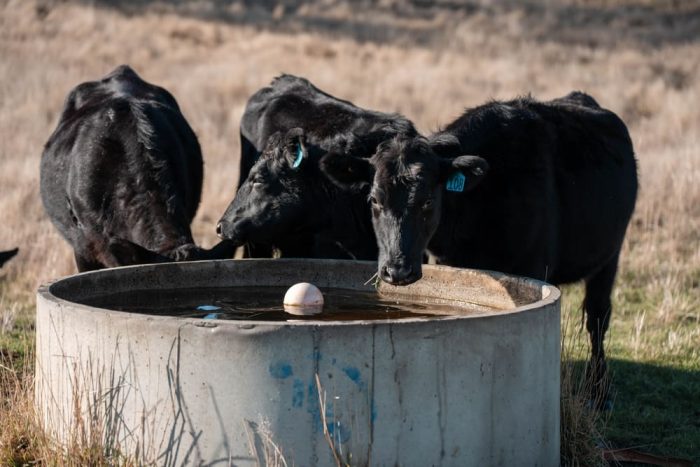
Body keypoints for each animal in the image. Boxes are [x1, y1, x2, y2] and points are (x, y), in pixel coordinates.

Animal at [321, 92, 638, 405]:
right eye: (375, 199)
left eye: (427, 201)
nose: (397, 271)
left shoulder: (536, 267)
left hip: (610, 257)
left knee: (597, 318)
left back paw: (598, 392)